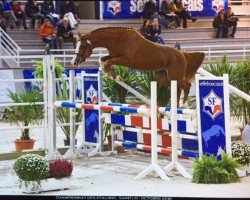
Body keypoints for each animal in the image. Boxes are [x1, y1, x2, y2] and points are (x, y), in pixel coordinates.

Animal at [71, 27, 204, 108]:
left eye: (82, 46)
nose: (73, 62)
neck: (118, 39)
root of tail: (182, 54)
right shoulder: (114, 55)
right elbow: (103, 60)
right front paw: (112, 73)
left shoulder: (127, 59)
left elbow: (109, 62)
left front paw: (112, 74)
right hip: (163, 78)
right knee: (178, 88)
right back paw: (176, 106)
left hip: (174, 76)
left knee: (187, 85)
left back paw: (184, 104)